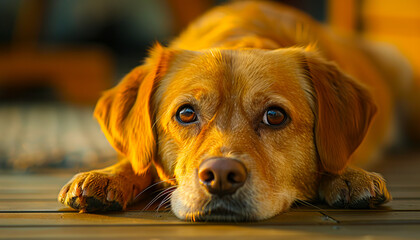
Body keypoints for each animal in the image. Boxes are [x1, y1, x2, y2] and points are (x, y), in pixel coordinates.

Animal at [58, 0, 414, 221]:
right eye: (185, 114)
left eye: (275, 116)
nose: (221, 176)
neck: (242, 38)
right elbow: (136, 159)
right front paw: (108, 176)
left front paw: (349, 174)